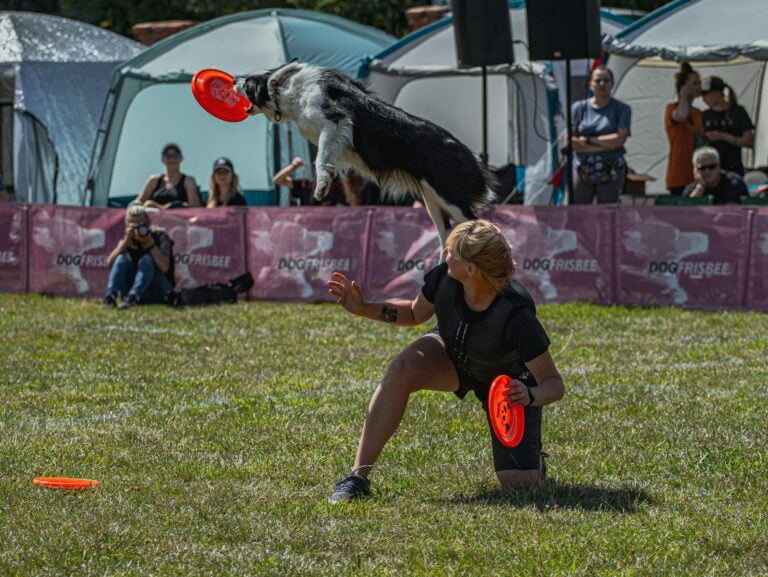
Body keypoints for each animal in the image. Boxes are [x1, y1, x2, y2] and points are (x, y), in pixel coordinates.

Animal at [236, 60, 498, 248]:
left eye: (247, 84)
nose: (234, 79)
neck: (289, 90)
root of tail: (467, 153)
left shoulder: (334, 122)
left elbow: (320, 157)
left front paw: (321, 187)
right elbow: (325, 156)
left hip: (448, 196)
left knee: (479, 225)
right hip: (432, 200)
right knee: (446, 236)